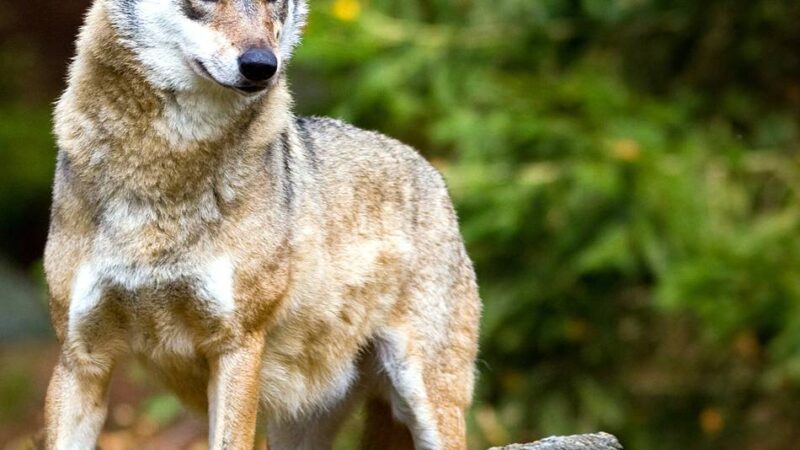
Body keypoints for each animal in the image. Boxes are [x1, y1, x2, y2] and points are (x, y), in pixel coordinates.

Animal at [44, 0, 481, 449]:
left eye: (274, 2)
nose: (261, 66)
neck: (159, 179)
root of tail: (430, 169)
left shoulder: (237, 347)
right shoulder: (80, 359)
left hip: (425, 402)